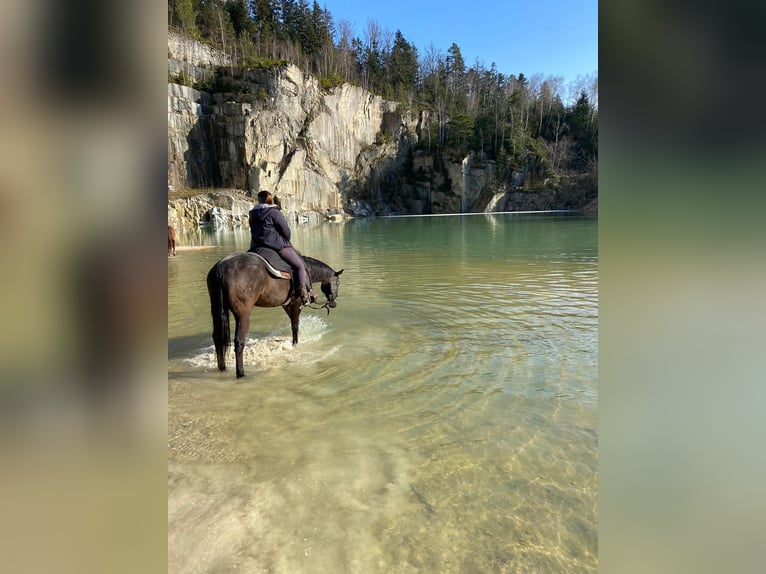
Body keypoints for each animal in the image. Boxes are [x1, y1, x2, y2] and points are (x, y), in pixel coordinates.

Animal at [207, 251, 344, 378]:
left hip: (216, 310)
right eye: (338, 283)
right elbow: (295, 326)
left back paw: (222, 368)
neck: (308, 269)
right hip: (243, 314)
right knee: (239, 342)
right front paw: (295, 344)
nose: (333, 303)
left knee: (217, 338)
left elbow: (293, 325)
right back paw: (241, 373)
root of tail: (222, 267)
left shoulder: (287, 306)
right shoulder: (296, 304)